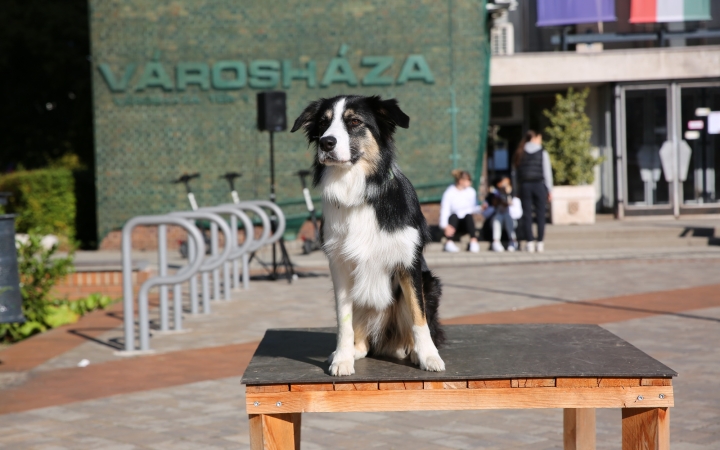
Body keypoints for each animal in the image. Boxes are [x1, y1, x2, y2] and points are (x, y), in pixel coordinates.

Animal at [292, 95, 444, 376]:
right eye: (323, 123)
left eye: (354, 121)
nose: (326, 142)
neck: (359, 193)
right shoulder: (339, 265)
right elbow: (344, 320)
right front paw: (342, 359)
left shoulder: (408, 263)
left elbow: (418, 317)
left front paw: (429, 356)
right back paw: (354, 351)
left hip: (430, 284)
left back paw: (411, 351)